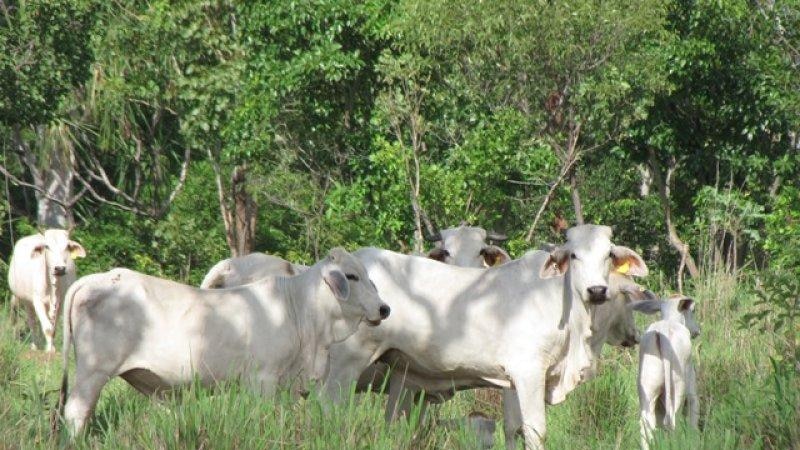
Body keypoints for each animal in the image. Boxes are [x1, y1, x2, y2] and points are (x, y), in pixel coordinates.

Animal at [322, 225, 648, 450]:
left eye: (608, 255)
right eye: (574, 255)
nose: (597, 290)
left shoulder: (514, 382)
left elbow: (514, 427)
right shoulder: (528, 372)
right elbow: (533, 429)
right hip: (344, 365)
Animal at [636, 294, 696, 448]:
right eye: (693, 310)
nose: (697, 330)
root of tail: (660, 333)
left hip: (648, 389)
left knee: (646, 423)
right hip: (677, 387)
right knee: (672, 420)